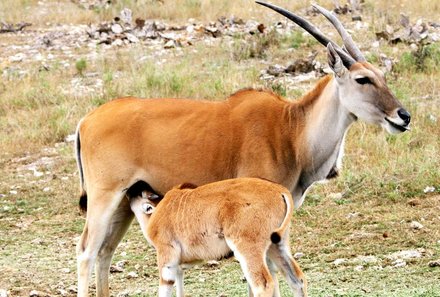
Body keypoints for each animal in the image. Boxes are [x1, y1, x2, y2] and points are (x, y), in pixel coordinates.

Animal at [129, 177, 308, 296]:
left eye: (140, 192)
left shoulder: (167, 259)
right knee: (297, 280)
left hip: (247, 251)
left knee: (263, 285)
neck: (160, 208)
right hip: (276, 247)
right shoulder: (179, 268)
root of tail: (279, 190)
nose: (129, 190)